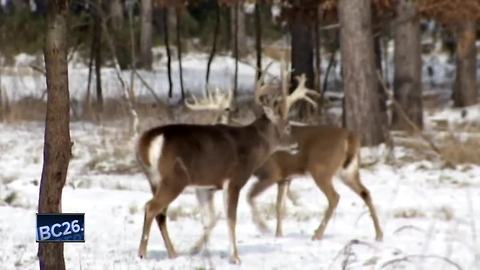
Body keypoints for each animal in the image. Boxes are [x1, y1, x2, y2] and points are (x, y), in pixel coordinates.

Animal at [135, 68, 316, 264]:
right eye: (288, 126)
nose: (296, 145)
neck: (251, 147)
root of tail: (149, 141)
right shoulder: (234, 180)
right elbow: (231, 218)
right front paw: (235, 257)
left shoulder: (205, 187)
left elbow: (208, 220)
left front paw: (201, 252)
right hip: (174, 178)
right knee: (151, 207)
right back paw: (142, 253)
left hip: (154, 180)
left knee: (161, 213)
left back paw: (173, 253)